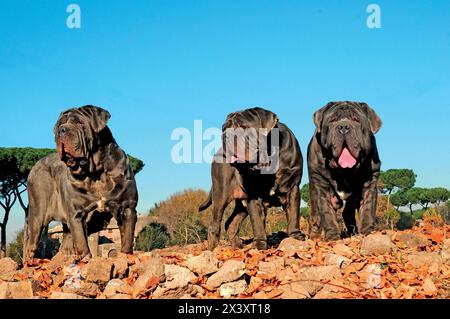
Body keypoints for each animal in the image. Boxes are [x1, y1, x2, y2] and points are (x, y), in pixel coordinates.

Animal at [22, 106, 138, 262]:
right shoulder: (76, 214)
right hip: (37, 214)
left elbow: (127, 239)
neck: (96, 172)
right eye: (59, 125)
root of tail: (36, 165)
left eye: (79, 122)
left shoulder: (127, 209)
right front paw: (86, 260)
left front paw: (125, 257)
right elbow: (81, 241)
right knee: (32, 244)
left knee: (65, 243)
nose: (61, 130)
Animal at [199, 109, 304, 251]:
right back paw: (212, 249)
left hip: (241, 204)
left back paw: (238, 246)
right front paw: (259, 244)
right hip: (220, 195)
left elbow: (294, 214)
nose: (225, 135)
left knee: (231, 223)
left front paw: (295, 236)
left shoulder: (292, 187)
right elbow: (257, 221)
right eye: (224, 128)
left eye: (243, 126)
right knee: (215, 224)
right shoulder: (254, 194)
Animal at [304, 101, 382, 241]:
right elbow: (327, 213)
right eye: (333, 120)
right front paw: (332, 237)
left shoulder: (370, 182)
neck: (344, 172)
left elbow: (367, 210)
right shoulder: (322, 186)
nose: (344, 127)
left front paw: (367, 232)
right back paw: (314, 236)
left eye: (356, 120)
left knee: (348, 212)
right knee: (316, 216)